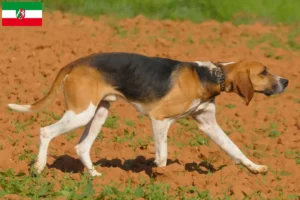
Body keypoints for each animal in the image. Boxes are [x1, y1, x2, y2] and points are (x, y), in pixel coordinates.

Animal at [7, 52, 288, 176]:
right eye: (264, 72)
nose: (285, 81)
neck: (212, 75)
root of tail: (76, 62)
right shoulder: (160, 119)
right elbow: (162, 156)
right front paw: (158, 174)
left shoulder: (209, 124)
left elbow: (235, 149)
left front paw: (255, 168)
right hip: (81, 113)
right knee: (45, 131)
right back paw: (39, 167)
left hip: (99, 113)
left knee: (81, 147)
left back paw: (96, 177)